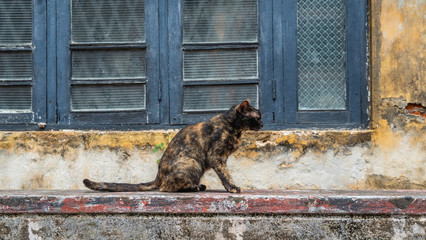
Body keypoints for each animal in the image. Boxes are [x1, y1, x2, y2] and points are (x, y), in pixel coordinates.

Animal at [82, 99, 262, 193]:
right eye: (257, 117)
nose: (263, 123)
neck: (233, 128)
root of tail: (158, 176)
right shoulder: (216, 156)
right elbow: (225, 174)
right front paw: (232, 187)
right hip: (192, 163)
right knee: (166, 188)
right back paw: (196, 187)